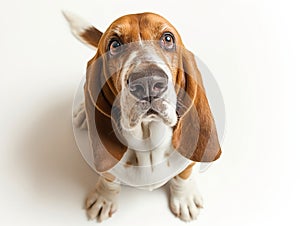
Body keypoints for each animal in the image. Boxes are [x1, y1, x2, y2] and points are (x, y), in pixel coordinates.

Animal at [63, 11, 220, 222]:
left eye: (168, 39)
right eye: (114, 45)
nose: (148, 82)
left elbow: (183, 176)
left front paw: (185, 198)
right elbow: (109, 179)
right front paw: (104, 199)